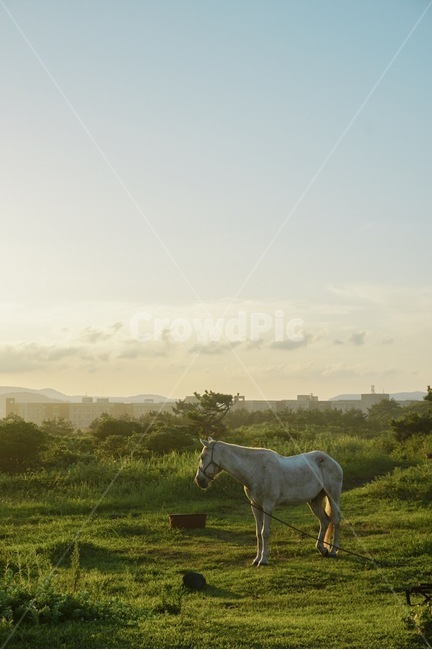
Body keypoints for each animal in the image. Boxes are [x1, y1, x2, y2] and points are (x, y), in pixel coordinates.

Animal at [195, 438, 343, 566]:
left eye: (202, 457)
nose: (199, 480)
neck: (256, 469)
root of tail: (333, 462)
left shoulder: (268, 506)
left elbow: (264, 532)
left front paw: (264, 559)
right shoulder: (255, 506)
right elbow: (258, 532)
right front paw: (256, 559)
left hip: (333, 497)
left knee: (335, 520)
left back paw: (333, 550)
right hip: (314, 501)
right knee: (324, 521)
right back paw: (322, 549)